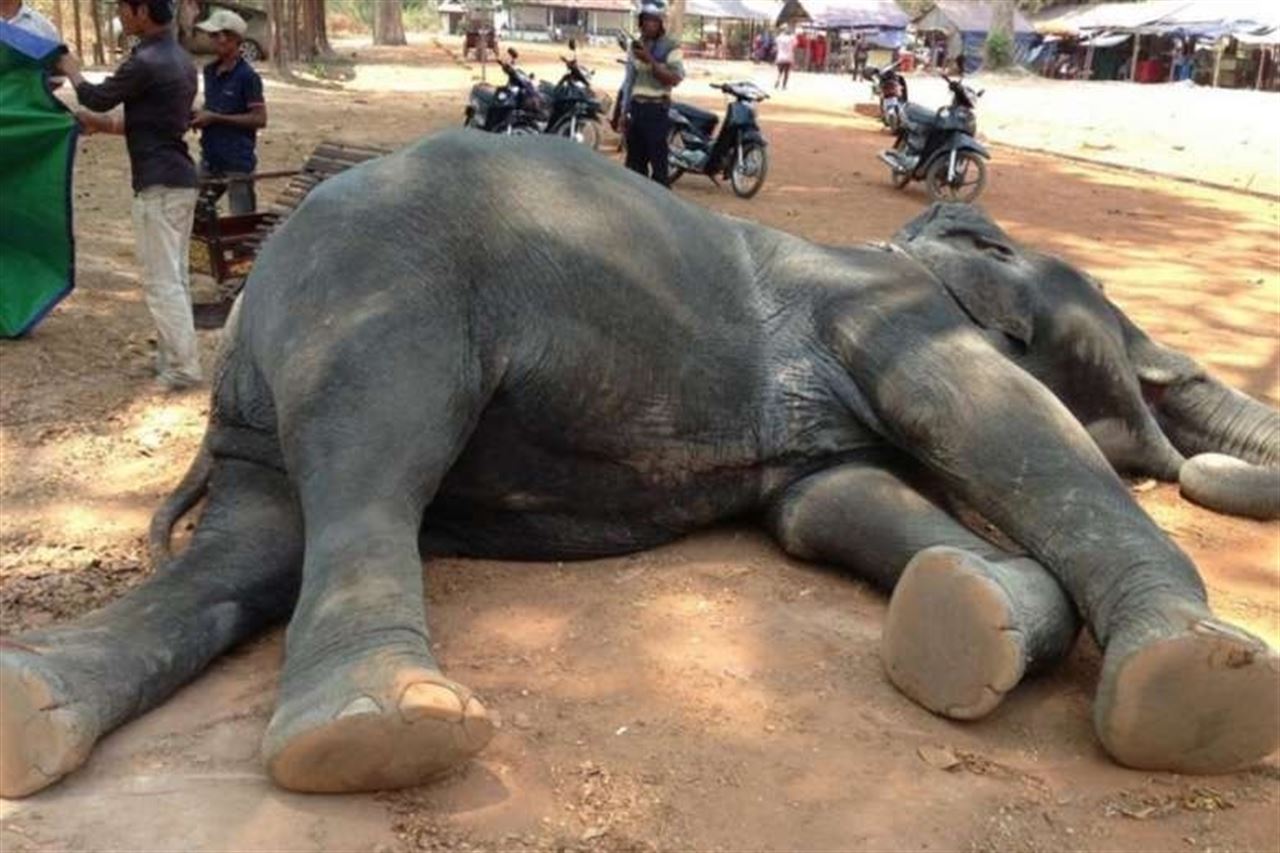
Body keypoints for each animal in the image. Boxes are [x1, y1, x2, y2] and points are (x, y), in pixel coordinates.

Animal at [1, 130, 1277, 798]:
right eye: (1110, 319)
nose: (1170, 438)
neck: (910, 249)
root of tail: (245, 306)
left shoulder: (820, 437)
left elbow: (828, 501)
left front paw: (974, 615)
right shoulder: (890, 318)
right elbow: (999, 424)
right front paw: (1197, 680)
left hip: (267, 407)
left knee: (255, 541)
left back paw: (37, 709)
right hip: (384, 294)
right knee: (372, 459)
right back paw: (376, 733)